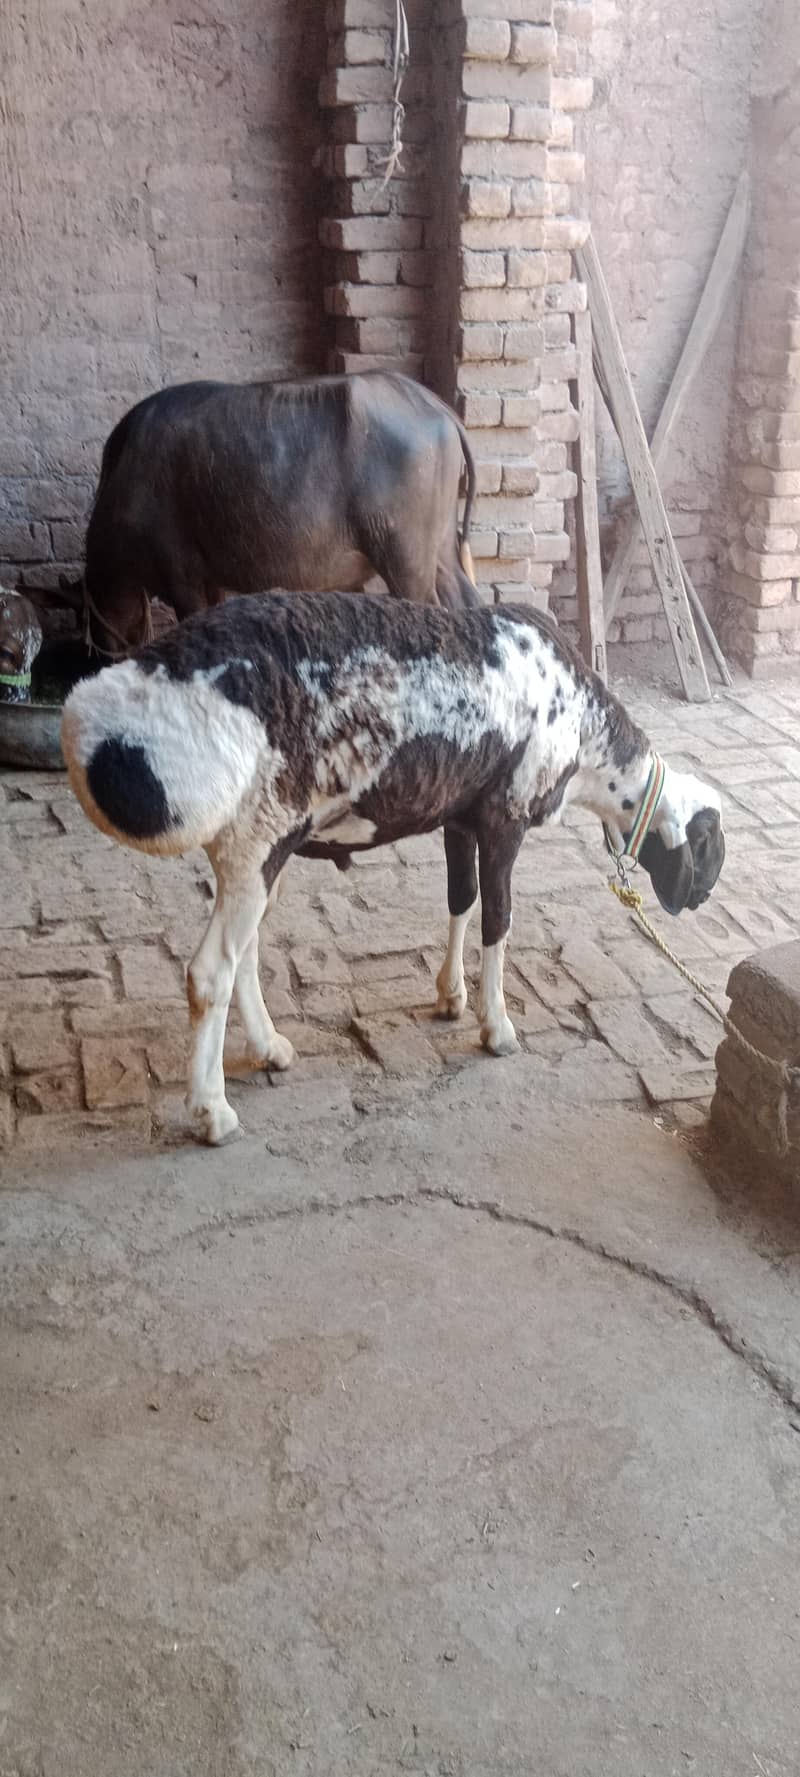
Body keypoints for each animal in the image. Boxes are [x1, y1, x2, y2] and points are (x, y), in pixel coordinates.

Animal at [62, 592, 725, 1145]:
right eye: (712, 849)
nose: (696, 902)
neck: (588, 745)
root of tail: (98, 713)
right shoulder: (505, 816)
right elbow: (499, 918)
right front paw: (497, 1027)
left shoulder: (460, 816)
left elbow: (460, 898)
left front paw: (451, 996)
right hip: (257, 835)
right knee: (208, 974)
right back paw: (212, 1113)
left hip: (257, 848)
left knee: (241, 954)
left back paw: (270, 1047)